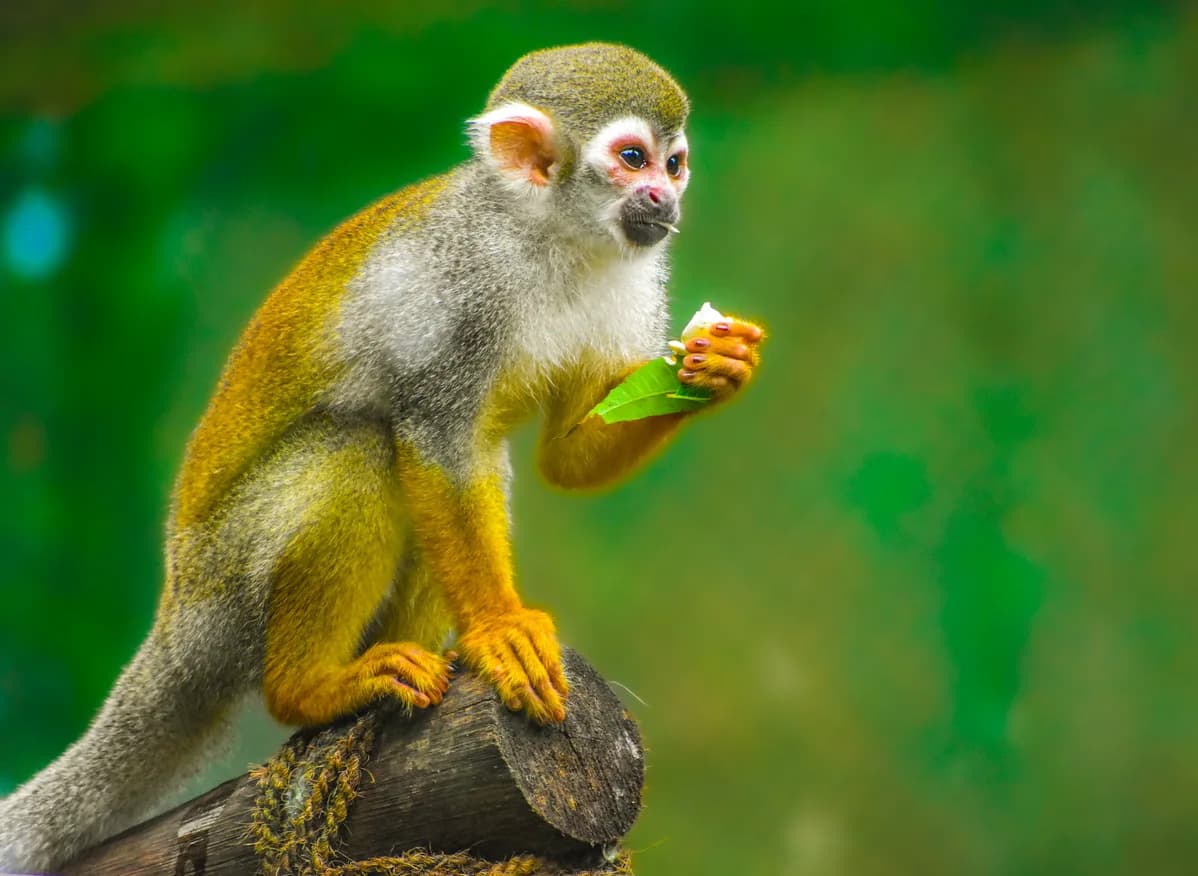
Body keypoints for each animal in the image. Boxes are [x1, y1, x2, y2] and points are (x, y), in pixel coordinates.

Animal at [0, 42, 764, 872]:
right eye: (631, 159)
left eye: (675, 162)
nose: (664, 196)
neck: (548, 240)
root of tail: (176, 614)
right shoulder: (453, 292)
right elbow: (433, 435)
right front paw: (500, 628)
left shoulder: (632, 276)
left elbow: (562, 458)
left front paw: (719, 369)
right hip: (229, 585)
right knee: (366, 450)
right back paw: (312, 687)